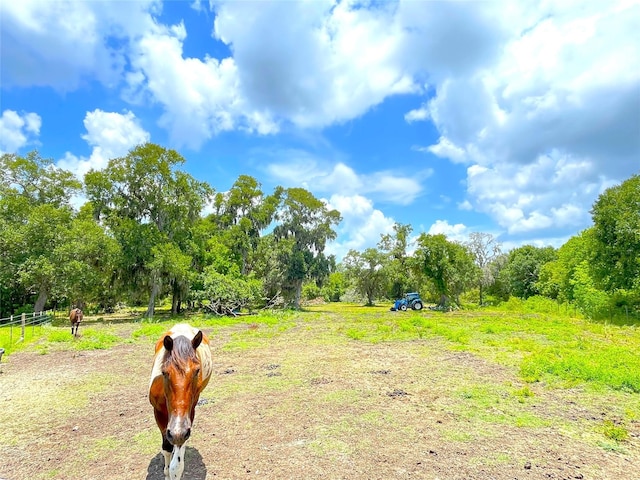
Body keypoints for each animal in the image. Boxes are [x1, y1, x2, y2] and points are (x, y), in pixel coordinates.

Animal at [148, 322, 212, 480]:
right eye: (164, 372)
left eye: (197, 371)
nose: (178, 432)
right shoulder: (158, 413)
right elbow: (166, 448)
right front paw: (165, 472)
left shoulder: (185, 422)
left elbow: (176, 466)